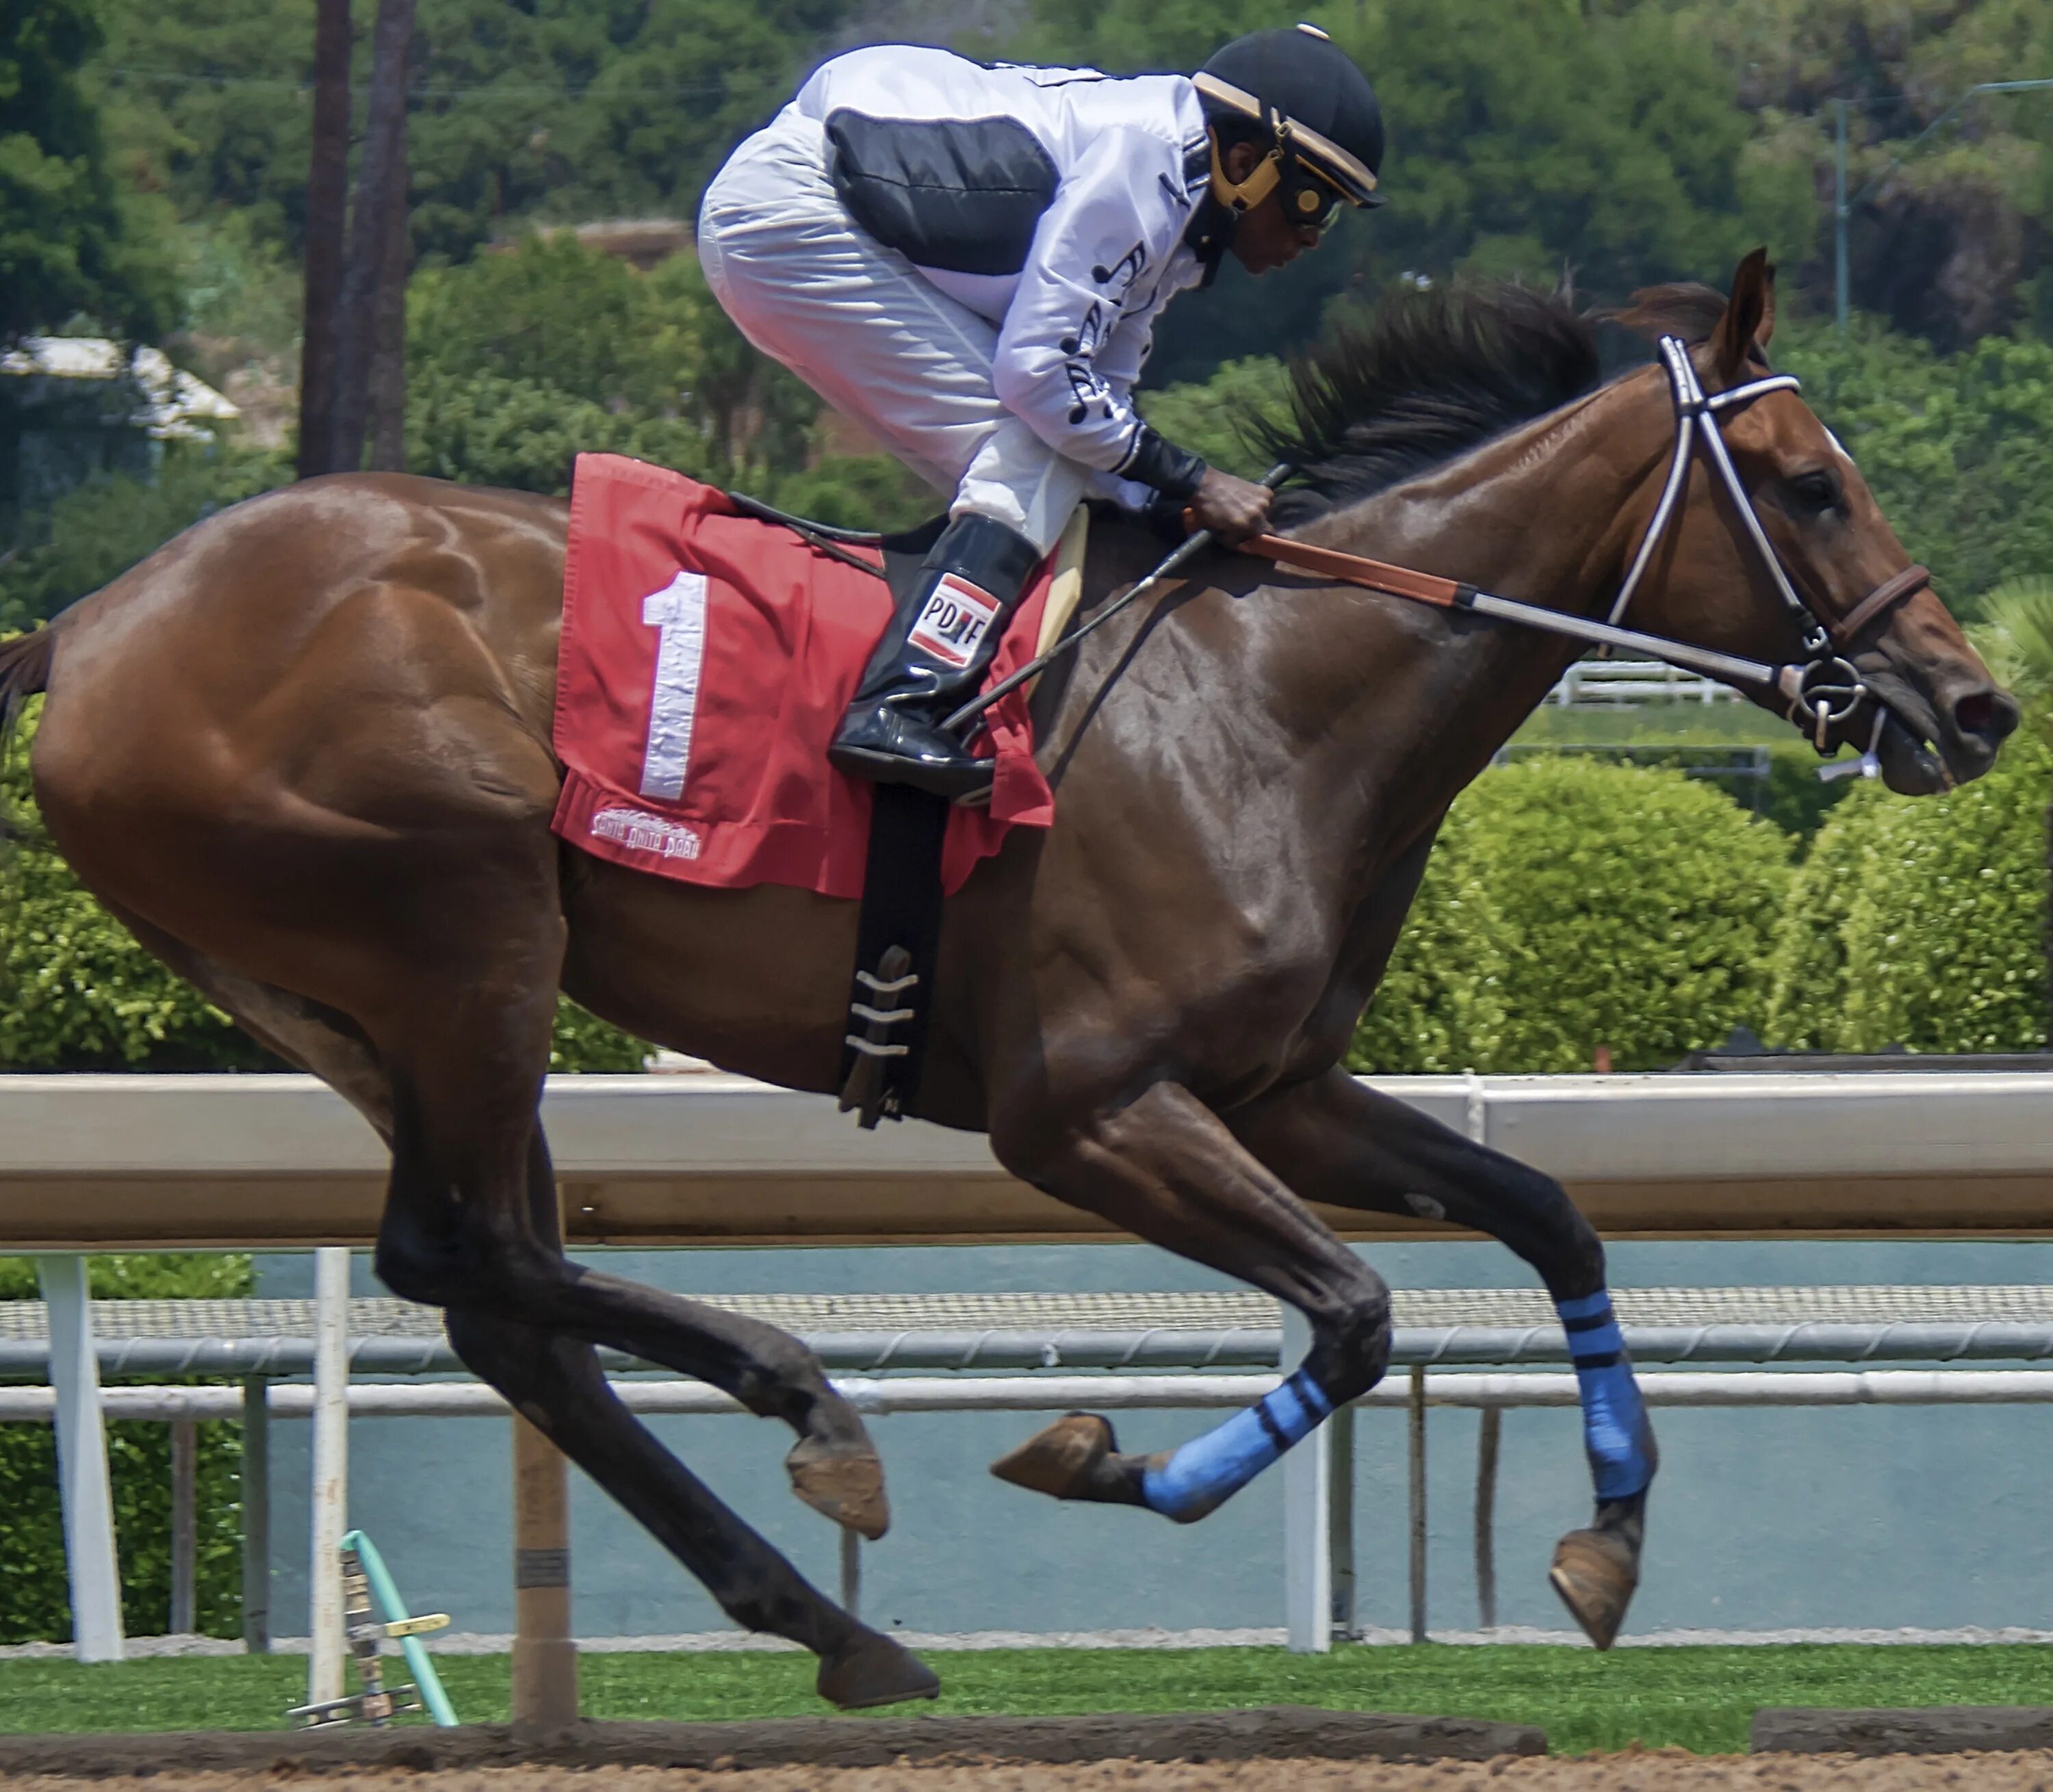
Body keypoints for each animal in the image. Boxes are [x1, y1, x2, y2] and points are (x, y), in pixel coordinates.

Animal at [0, 251, 2012, 1708]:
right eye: (1809, 486)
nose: (1973, 704)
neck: (1272, 692)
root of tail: (92, 620)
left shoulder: (1278, 1088)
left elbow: (1550, 1215)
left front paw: (1605, 1541)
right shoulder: (1086, 1109)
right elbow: (1355, 1314)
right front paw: (1100, 1462)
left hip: (349, 995)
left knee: (492, 1291)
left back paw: (835, 1619)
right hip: (462, 927)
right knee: (468, 1254)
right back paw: (807, 1414)